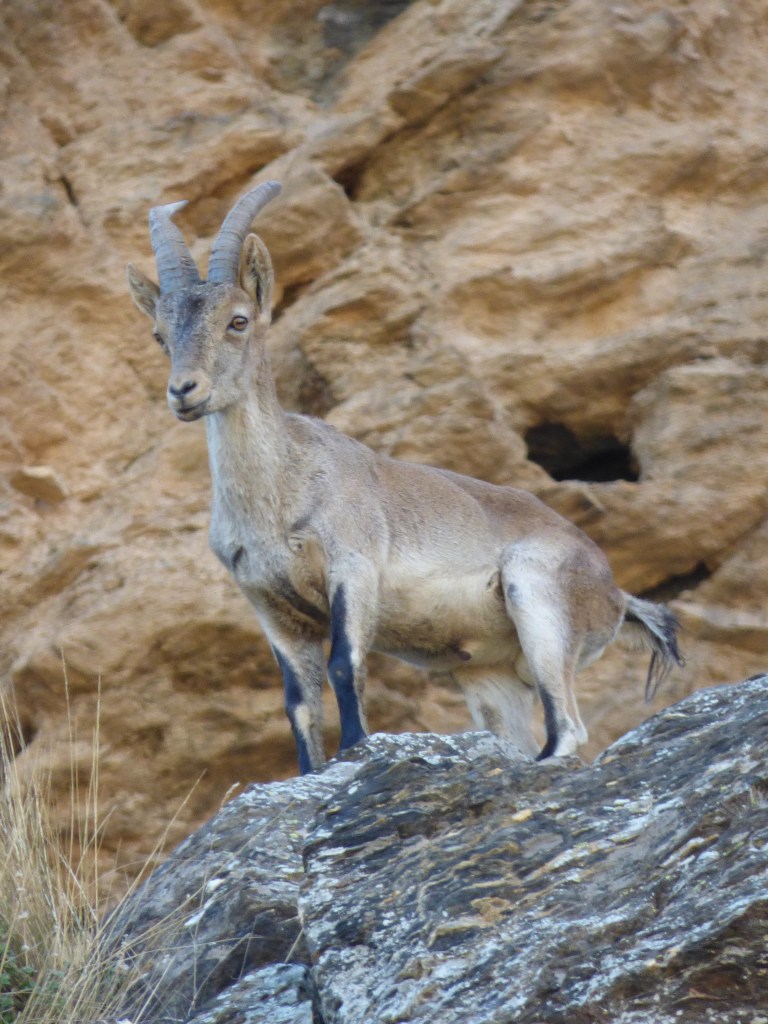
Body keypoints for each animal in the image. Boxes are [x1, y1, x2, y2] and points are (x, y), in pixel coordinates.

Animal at [127, 181, 683, 772]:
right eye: (160, 334)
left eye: (238, 320)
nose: (184, 391)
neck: (281, 489)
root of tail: (616, 594)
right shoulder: (271, 607)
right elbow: (298, 703)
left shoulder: (354, 567)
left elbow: (345, 663)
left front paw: (354, 750)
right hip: (487, 674)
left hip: (539, 601)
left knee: (568, 728)